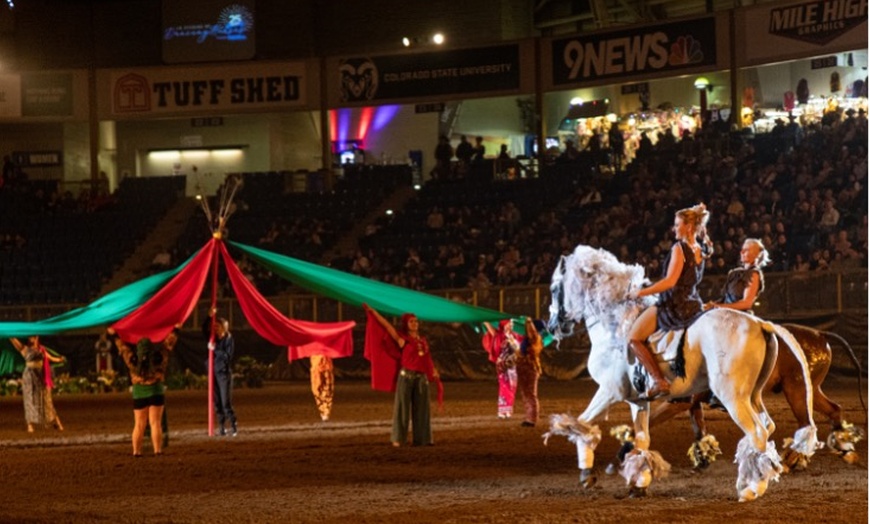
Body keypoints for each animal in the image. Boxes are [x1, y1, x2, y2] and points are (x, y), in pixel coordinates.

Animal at [544, 244, 816, 502]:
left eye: (555, 288)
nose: (552, 326)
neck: (614, 325)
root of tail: (760, 324)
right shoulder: (637, 400)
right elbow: (641, 438)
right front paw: (639, 484)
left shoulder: (610, 391)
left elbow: (581, 424)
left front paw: (587, 474)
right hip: (753, 395)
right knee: (767, 427)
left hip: (733, 397)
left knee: (758, 432)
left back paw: (751, 489)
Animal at [656, 324, 864, 470]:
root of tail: (819, 334)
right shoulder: (691, 401)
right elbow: (699, 428)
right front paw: (702, 459)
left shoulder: (679, 401)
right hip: (813, 388)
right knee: (833, 409)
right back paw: (844, 450)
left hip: (796, 388)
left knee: (806, 422)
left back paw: (790, 461)